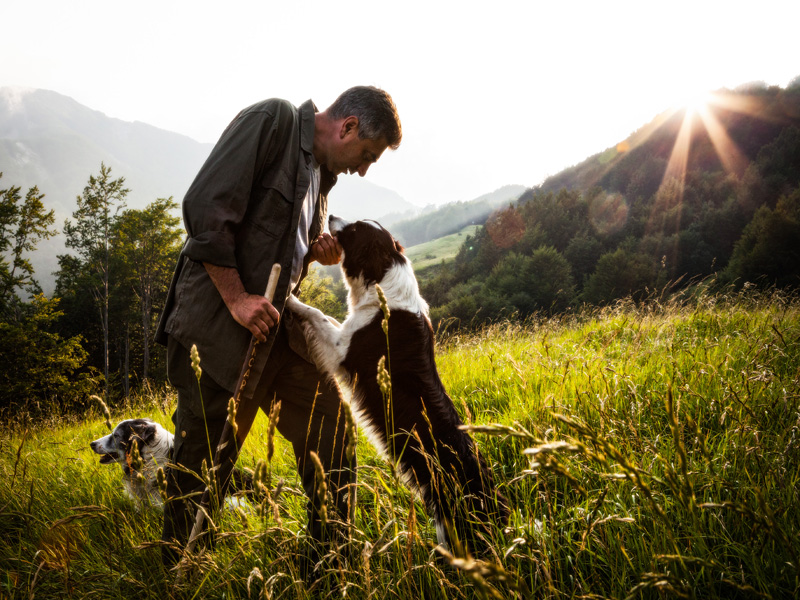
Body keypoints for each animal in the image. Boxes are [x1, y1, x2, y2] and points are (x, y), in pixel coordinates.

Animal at [288, 214, 510, 552]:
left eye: (354, 229)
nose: (332, 216)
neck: (383, 275)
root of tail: (497, 508)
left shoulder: (342, 350)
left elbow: (316, 313)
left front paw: (287, 297)